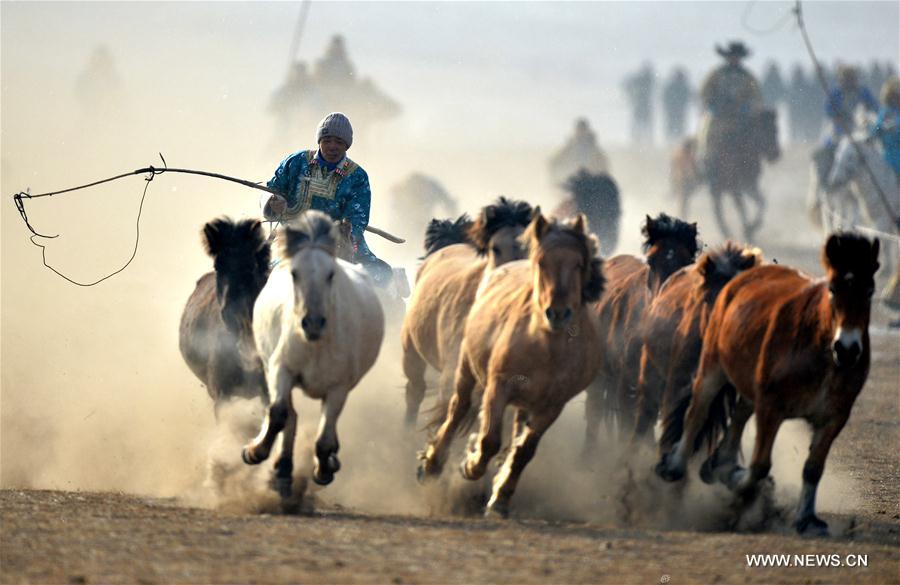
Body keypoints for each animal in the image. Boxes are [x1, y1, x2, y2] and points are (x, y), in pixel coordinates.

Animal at [241, 211, 385, 497]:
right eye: (294, 273)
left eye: (331, 274)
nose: (313, 322)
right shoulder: (281, 369)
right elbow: (279, 414)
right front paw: (255, 452)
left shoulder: (339, 388)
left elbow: (324, 439)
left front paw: (324, 469)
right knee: (289, 415)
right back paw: (282, 470)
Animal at [417, 212, 606, 517]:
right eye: (541, 261)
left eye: (578, 264)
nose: (558, 313)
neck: (547, 347)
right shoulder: (498, 386)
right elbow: (489, 440)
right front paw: (469, 465)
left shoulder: (552, 405)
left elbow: (524, 451)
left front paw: (500, 498)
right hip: (467, 368)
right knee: (458, 409)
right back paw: (432, 465)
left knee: (515, 431)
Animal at [581, 213, 699, 456]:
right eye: (651, 260)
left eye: (688, 263)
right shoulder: (628, 387)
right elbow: (627, 429)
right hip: (601, 377)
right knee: (594, 413)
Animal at [656, 233, 880, 536]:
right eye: (833, 289)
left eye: (869, 291)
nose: (847, 349)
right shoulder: (771, 408)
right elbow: (760, 465)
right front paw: (738, 481)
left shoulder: (834, 416)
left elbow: (813, 468)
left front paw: (806, 519)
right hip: (713, 367)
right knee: (697, 412)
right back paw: (677, 466)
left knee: (739, 414)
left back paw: (719, 465)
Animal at [680, 109, 780, 242]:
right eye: (765, 130)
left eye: (776, 129)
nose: (776, 154)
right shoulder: (734, 188)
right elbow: (742, 207)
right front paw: (748, 230)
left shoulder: (749, 186)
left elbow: (761, 202)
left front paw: (750, 229)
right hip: (700, 185)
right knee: (698, 204)